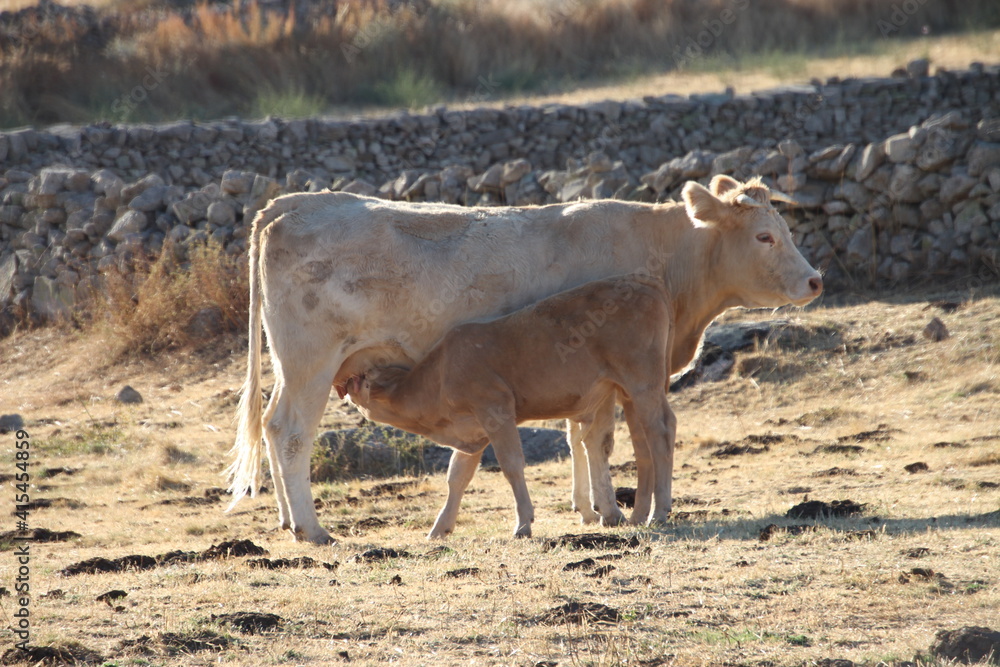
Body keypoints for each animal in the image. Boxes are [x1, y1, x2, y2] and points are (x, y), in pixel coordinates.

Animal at [343, 275, 675, 538]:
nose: (346, 384)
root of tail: (645, 283)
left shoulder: (495, 408)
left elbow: (512, 464)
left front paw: (523, 524)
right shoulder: (473, 431)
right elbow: (457, 476)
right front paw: (440, 528)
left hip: (642, 381)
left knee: (659, 432)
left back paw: (657, 513)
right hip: (632, 388)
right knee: (649, 434)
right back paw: (644, 512)